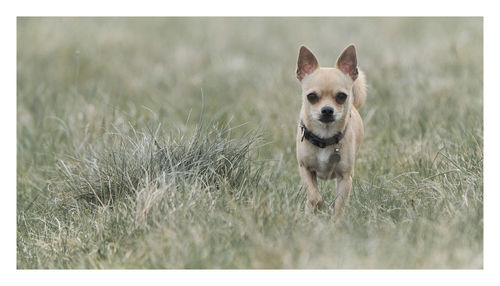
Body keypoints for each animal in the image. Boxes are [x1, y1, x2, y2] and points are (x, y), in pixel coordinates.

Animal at [292, 44, 368, 214]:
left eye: (341, 96)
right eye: (312, 96)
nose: (327, 110)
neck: (324, 137)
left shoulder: (345, 178)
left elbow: (339, 204)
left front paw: (335, 219)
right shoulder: (305, 169)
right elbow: (314, 196)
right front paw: (318, 206)